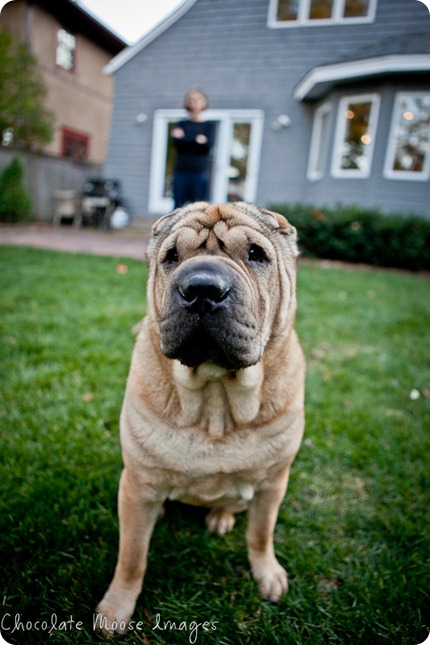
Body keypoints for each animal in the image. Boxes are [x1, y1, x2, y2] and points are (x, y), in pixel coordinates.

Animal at [95, 201, 304, 632]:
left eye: (256, 254)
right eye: (171, 257)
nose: (202, 289)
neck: (216, 401)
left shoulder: (273, 484)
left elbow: (261, 534)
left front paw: (268, 575)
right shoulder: (138, 487)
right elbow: (132, 555)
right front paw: (116, 607)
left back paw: (221, 516)